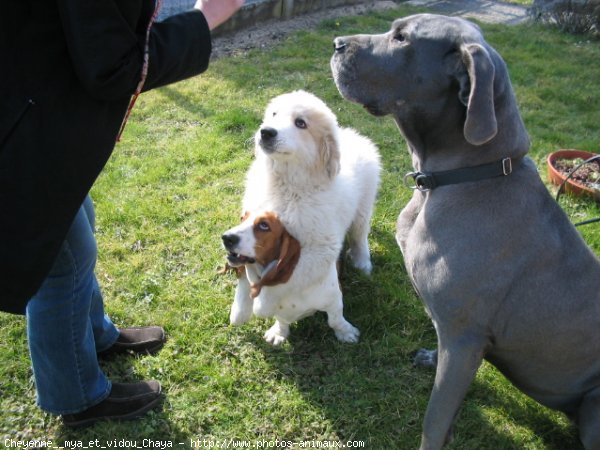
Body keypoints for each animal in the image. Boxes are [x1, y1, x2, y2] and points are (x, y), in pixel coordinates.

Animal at [225, 90, 380, 344]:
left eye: (301, 123)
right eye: (274, 114)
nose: (265, 131)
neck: (287, 186)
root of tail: (351, 135)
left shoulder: (318, 248)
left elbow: (283, 278)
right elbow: (246, 273)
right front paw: (241, 311)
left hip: (363, 207)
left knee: (360, 236)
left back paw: (363, 263)